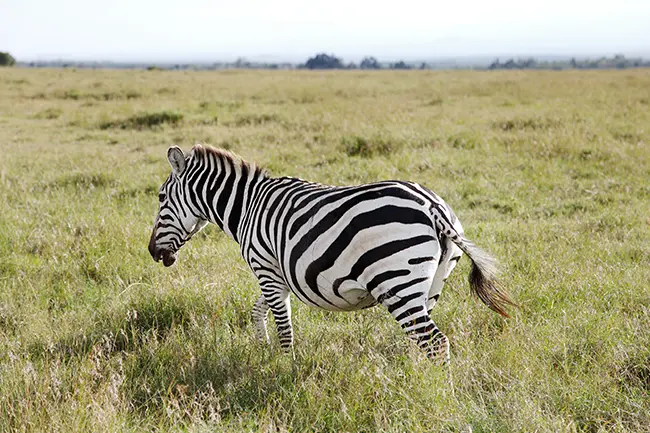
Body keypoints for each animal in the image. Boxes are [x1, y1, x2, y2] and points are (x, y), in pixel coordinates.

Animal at [146, 145, 512, 362]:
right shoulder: (277, 275)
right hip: (431, 282)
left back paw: (434, 393)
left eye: (161, 197)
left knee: (434, 341)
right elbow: (257, 311)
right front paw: (263, 349)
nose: (152, 252)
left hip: (397, 282)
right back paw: (413, 378)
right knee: (419, 338)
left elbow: (284, 327)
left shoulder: (266, 269)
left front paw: (284, 368)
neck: (247, 206)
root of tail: (433, 207)